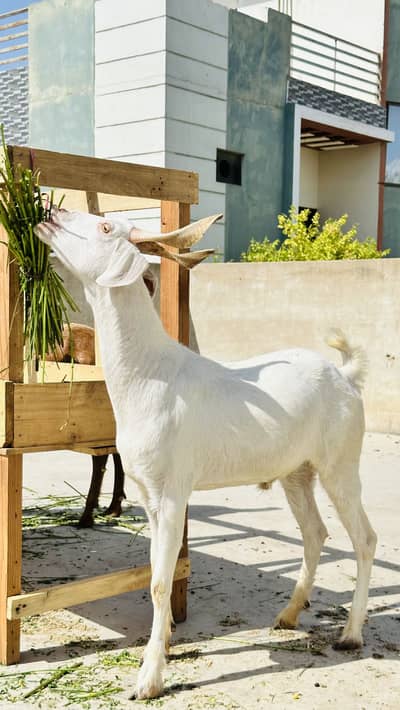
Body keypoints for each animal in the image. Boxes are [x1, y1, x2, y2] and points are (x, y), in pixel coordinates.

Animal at [36, 208, 377, 700]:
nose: (51, 213)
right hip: (297, 472)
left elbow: (160, 581)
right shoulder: (148, 495)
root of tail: (346, 376)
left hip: (341, 464)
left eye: (105, 227)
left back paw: (351, 633)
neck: (150, 374)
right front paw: (165, 645)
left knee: (364, 538)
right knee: (315, 533)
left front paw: (149, 678)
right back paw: (288, 615)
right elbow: (154, 573)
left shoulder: (173, 492)